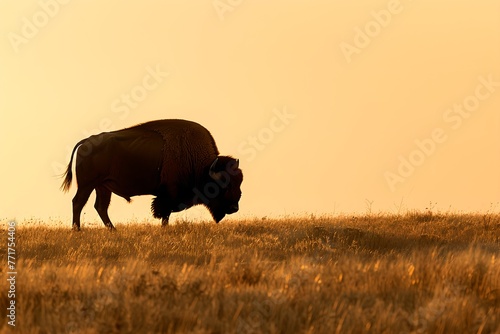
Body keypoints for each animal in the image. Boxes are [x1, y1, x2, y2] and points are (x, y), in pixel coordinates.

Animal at [61, 118, 243, 231]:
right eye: (224, 186)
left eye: (239, 183)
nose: (234, 208)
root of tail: (85, 142)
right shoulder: (169, 194)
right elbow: (165, 212)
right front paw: (164, 228)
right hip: (87, 184)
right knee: (78, 202)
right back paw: (77, 230)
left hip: (102, 186)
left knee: (100, 206)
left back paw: (113, 230)